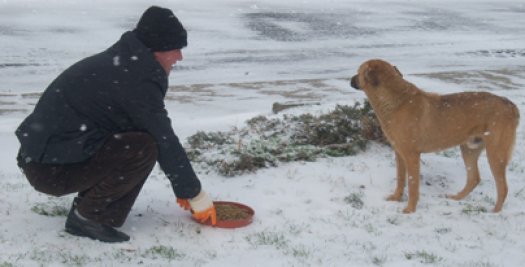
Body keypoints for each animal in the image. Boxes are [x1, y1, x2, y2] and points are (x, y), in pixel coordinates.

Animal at [350, 59, 516, 215]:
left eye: (359, 71)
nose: (350, 79)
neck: (396, 100)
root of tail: (511, 105)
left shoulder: (411, 155)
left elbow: (412, 184)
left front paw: (410, 209)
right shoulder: (399, 153)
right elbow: (400, 178)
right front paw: (396, 198)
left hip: (495, 153)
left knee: (503, 187)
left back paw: (495, 212)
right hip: (469, 149)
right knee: (474, 178)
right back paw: (457, 198)